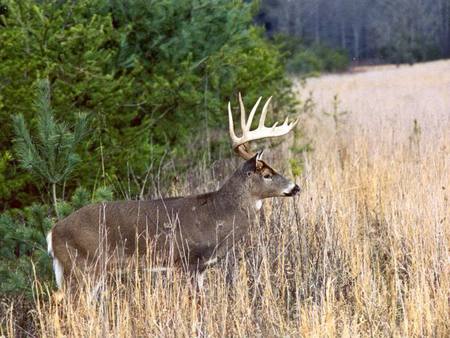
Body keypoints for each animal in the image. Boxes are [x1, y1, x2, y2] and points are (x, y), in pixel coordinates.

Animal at [45, 93, 300, 290]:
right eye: (266, 174)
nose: (295, 187)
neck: (217, 214)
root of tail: (53, 232)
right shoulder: (188, 260)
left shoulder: (200, 267)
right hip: (83, 266)